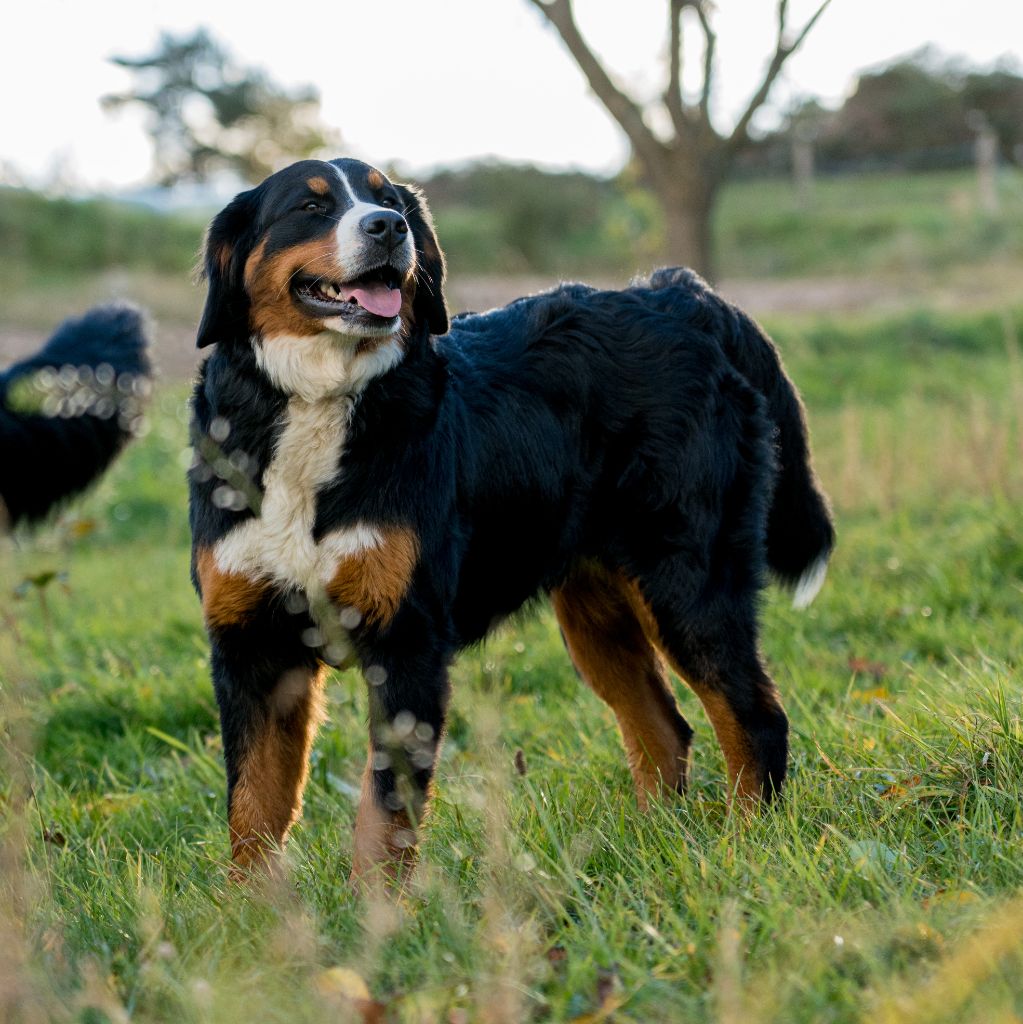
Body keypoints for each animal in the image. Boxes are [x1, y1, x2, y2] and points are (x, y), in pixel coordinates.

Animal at [190, 155, 831, 884]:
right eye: (311, 206)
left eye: (390, 202)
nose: (388, 228)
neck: (317, 404)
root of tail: (681, 296)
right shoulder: (251, 647)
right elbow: (252, 810)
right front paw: (256, 912)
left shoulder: (406, 643)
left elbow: (383, 817)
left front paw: (375, 910)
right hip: (597, 610)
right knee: (663, 727)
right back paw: (648, 848)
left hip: (688, 587)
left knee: (755, 718)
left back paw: (744, 850)